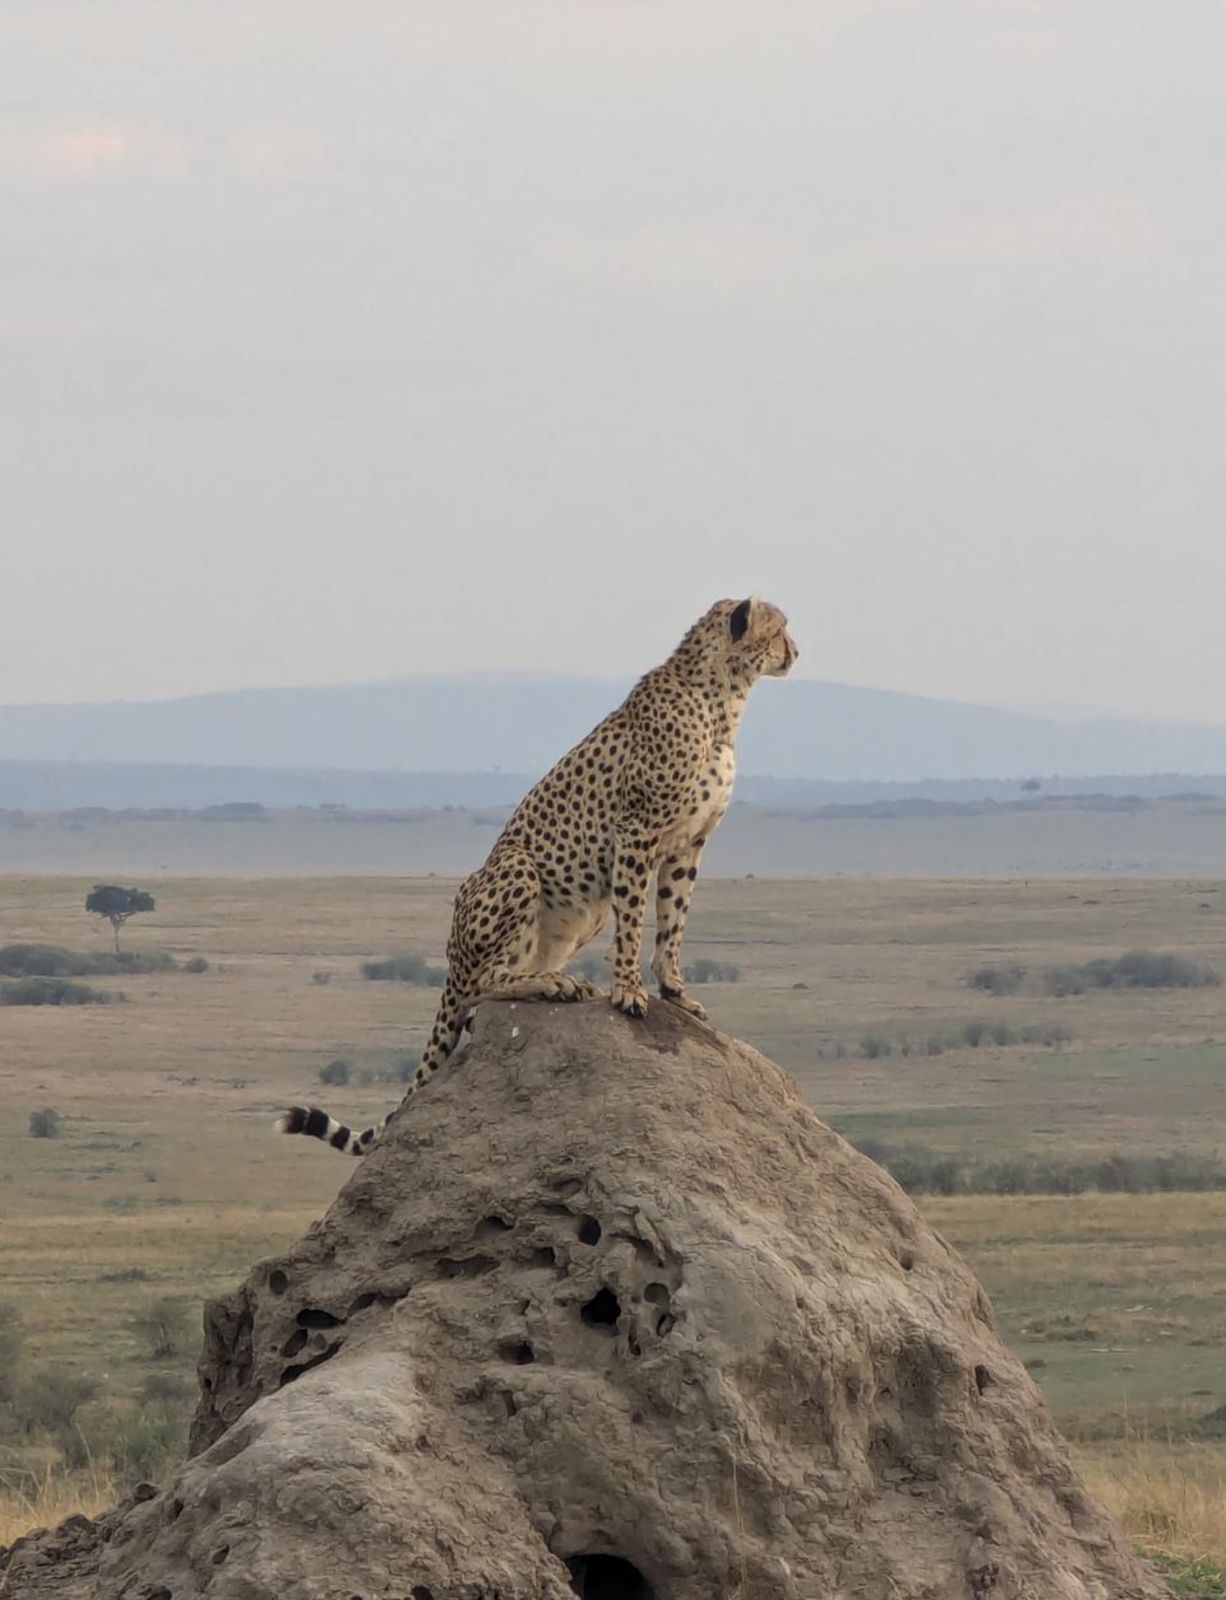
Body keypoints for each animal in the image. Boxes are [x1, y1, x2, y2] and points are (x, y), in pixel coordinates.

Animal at [276, 595, 797, 1158]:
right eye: (779, 629)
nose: (796, 651)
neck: (722, 698)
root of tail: (451, 960)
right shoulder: (635, 831)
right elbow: (634, 921)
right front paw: (628, 992)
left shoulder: (688, 843)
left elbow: (674, 921)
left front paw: (675, 991)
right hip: (518, 869)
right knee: (485, 985)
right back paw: (553, 984)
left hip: (579, 915)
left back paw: (562, 980)